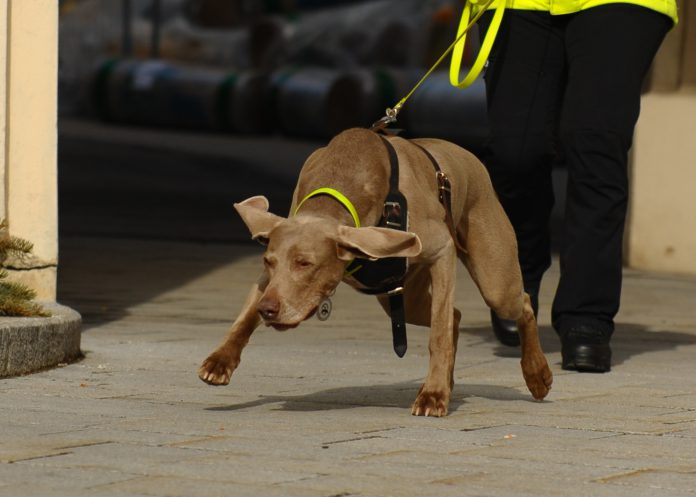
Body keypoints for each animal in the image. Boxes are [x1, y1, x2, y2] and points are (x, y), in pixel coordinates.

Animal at [198, 128, 552, 414]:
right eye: (268, 262)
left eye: (305, 263)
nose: (269, 310)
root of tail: (467, 155)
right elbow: (244, 316)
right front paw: (221, 361)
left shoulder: (441, 250)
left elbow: (438, 335)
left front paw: (433, 396)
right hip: (403, 297)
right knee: (454, 315)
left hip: (494, 278)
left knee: (518, 303)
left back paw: (536, 373)